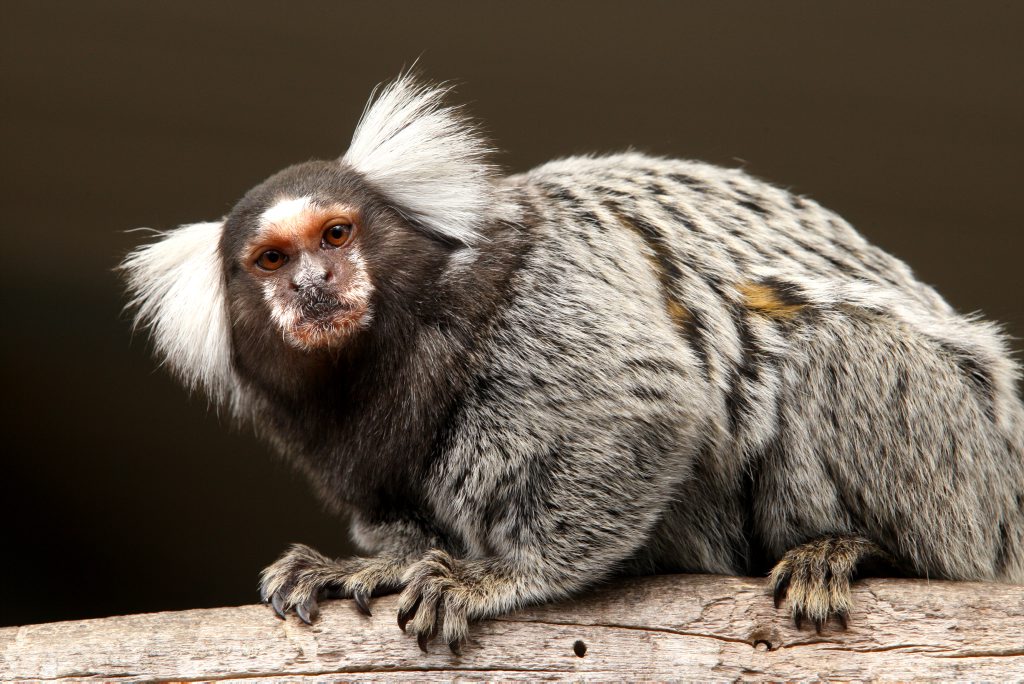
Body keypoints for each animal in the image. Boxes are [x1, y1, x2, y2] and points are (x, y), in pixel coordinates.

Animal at [121, 74, 1024, 652]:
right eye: (271, 260)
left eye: (337, 234)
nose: (314, 285)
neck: (390, 353)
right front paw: (370, 566)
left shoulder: (543, 288)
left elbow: (645, 408)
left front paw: (499, 577)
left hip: (968, 467)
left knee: (841, 348)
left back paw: (857, 550)